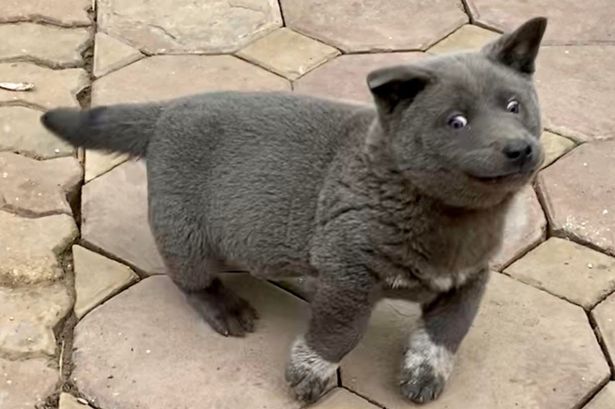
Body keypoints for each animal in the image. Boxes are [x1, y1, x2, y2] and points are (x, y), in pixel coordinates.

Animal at [42, 17, 547, 404]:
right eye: (456, 121)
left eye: (514, 106)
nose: (520, 149)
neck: (451, 219)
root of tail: (167, 112)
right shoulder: (349, 277)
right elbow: (337, 333)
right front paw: (309, 374)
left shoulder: (470, 280)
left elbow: (445, 333)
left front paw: (424, 374)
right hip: (183, 230)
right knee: (189, 279)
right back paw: (226, 308)